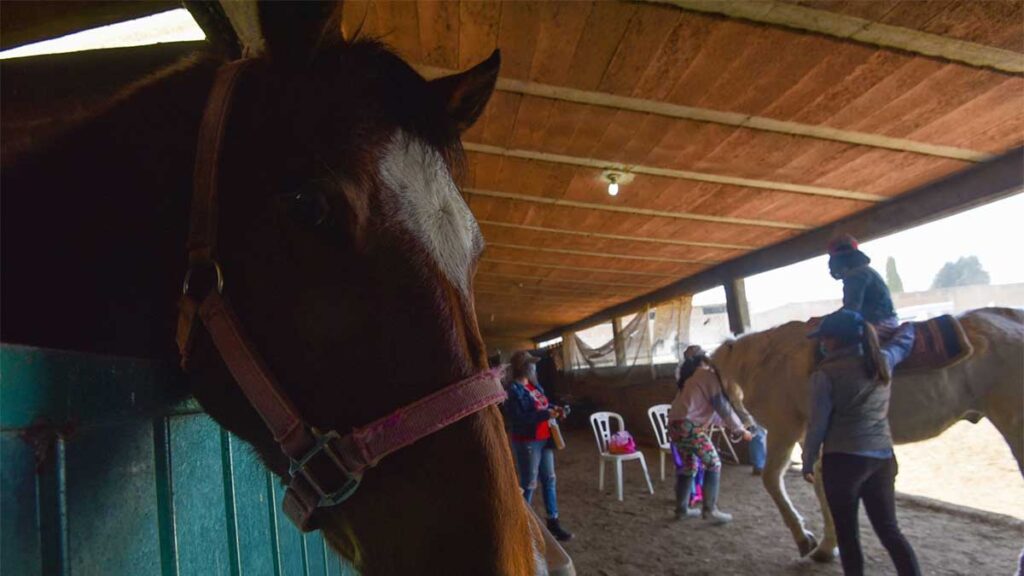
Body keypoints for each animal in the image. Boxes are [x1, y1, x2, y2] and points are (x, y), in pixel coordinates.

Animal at [712, 307, 1024, 557]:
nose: (743, 430)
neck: (772, 359)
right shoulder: (812, 439)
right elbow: (822, 487)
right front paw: (827, 546)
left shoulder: (784, 431)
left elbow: (772, 480)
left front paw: (805, 540)